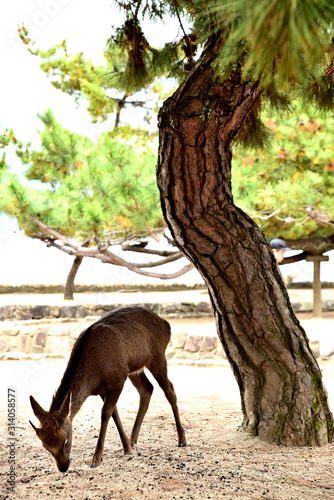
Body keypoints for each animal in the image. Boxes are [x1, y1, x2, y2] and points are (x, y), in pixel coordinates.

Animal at [29, 304, 187, 472]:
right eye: (45, 446)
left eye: (66, 441)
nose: (63, 467)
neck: (94, 373)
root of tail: (166, 324)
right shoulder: (102, 389)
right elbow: (114, 413)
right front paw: (127, 449)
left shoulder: (118, 379)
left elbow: (106, 413)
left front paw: (96, 459)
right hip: (135, 369)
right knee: (147, 388)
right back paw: (133, 440)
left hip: (158, 356)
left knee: (169, 389)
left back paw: (182, 439)